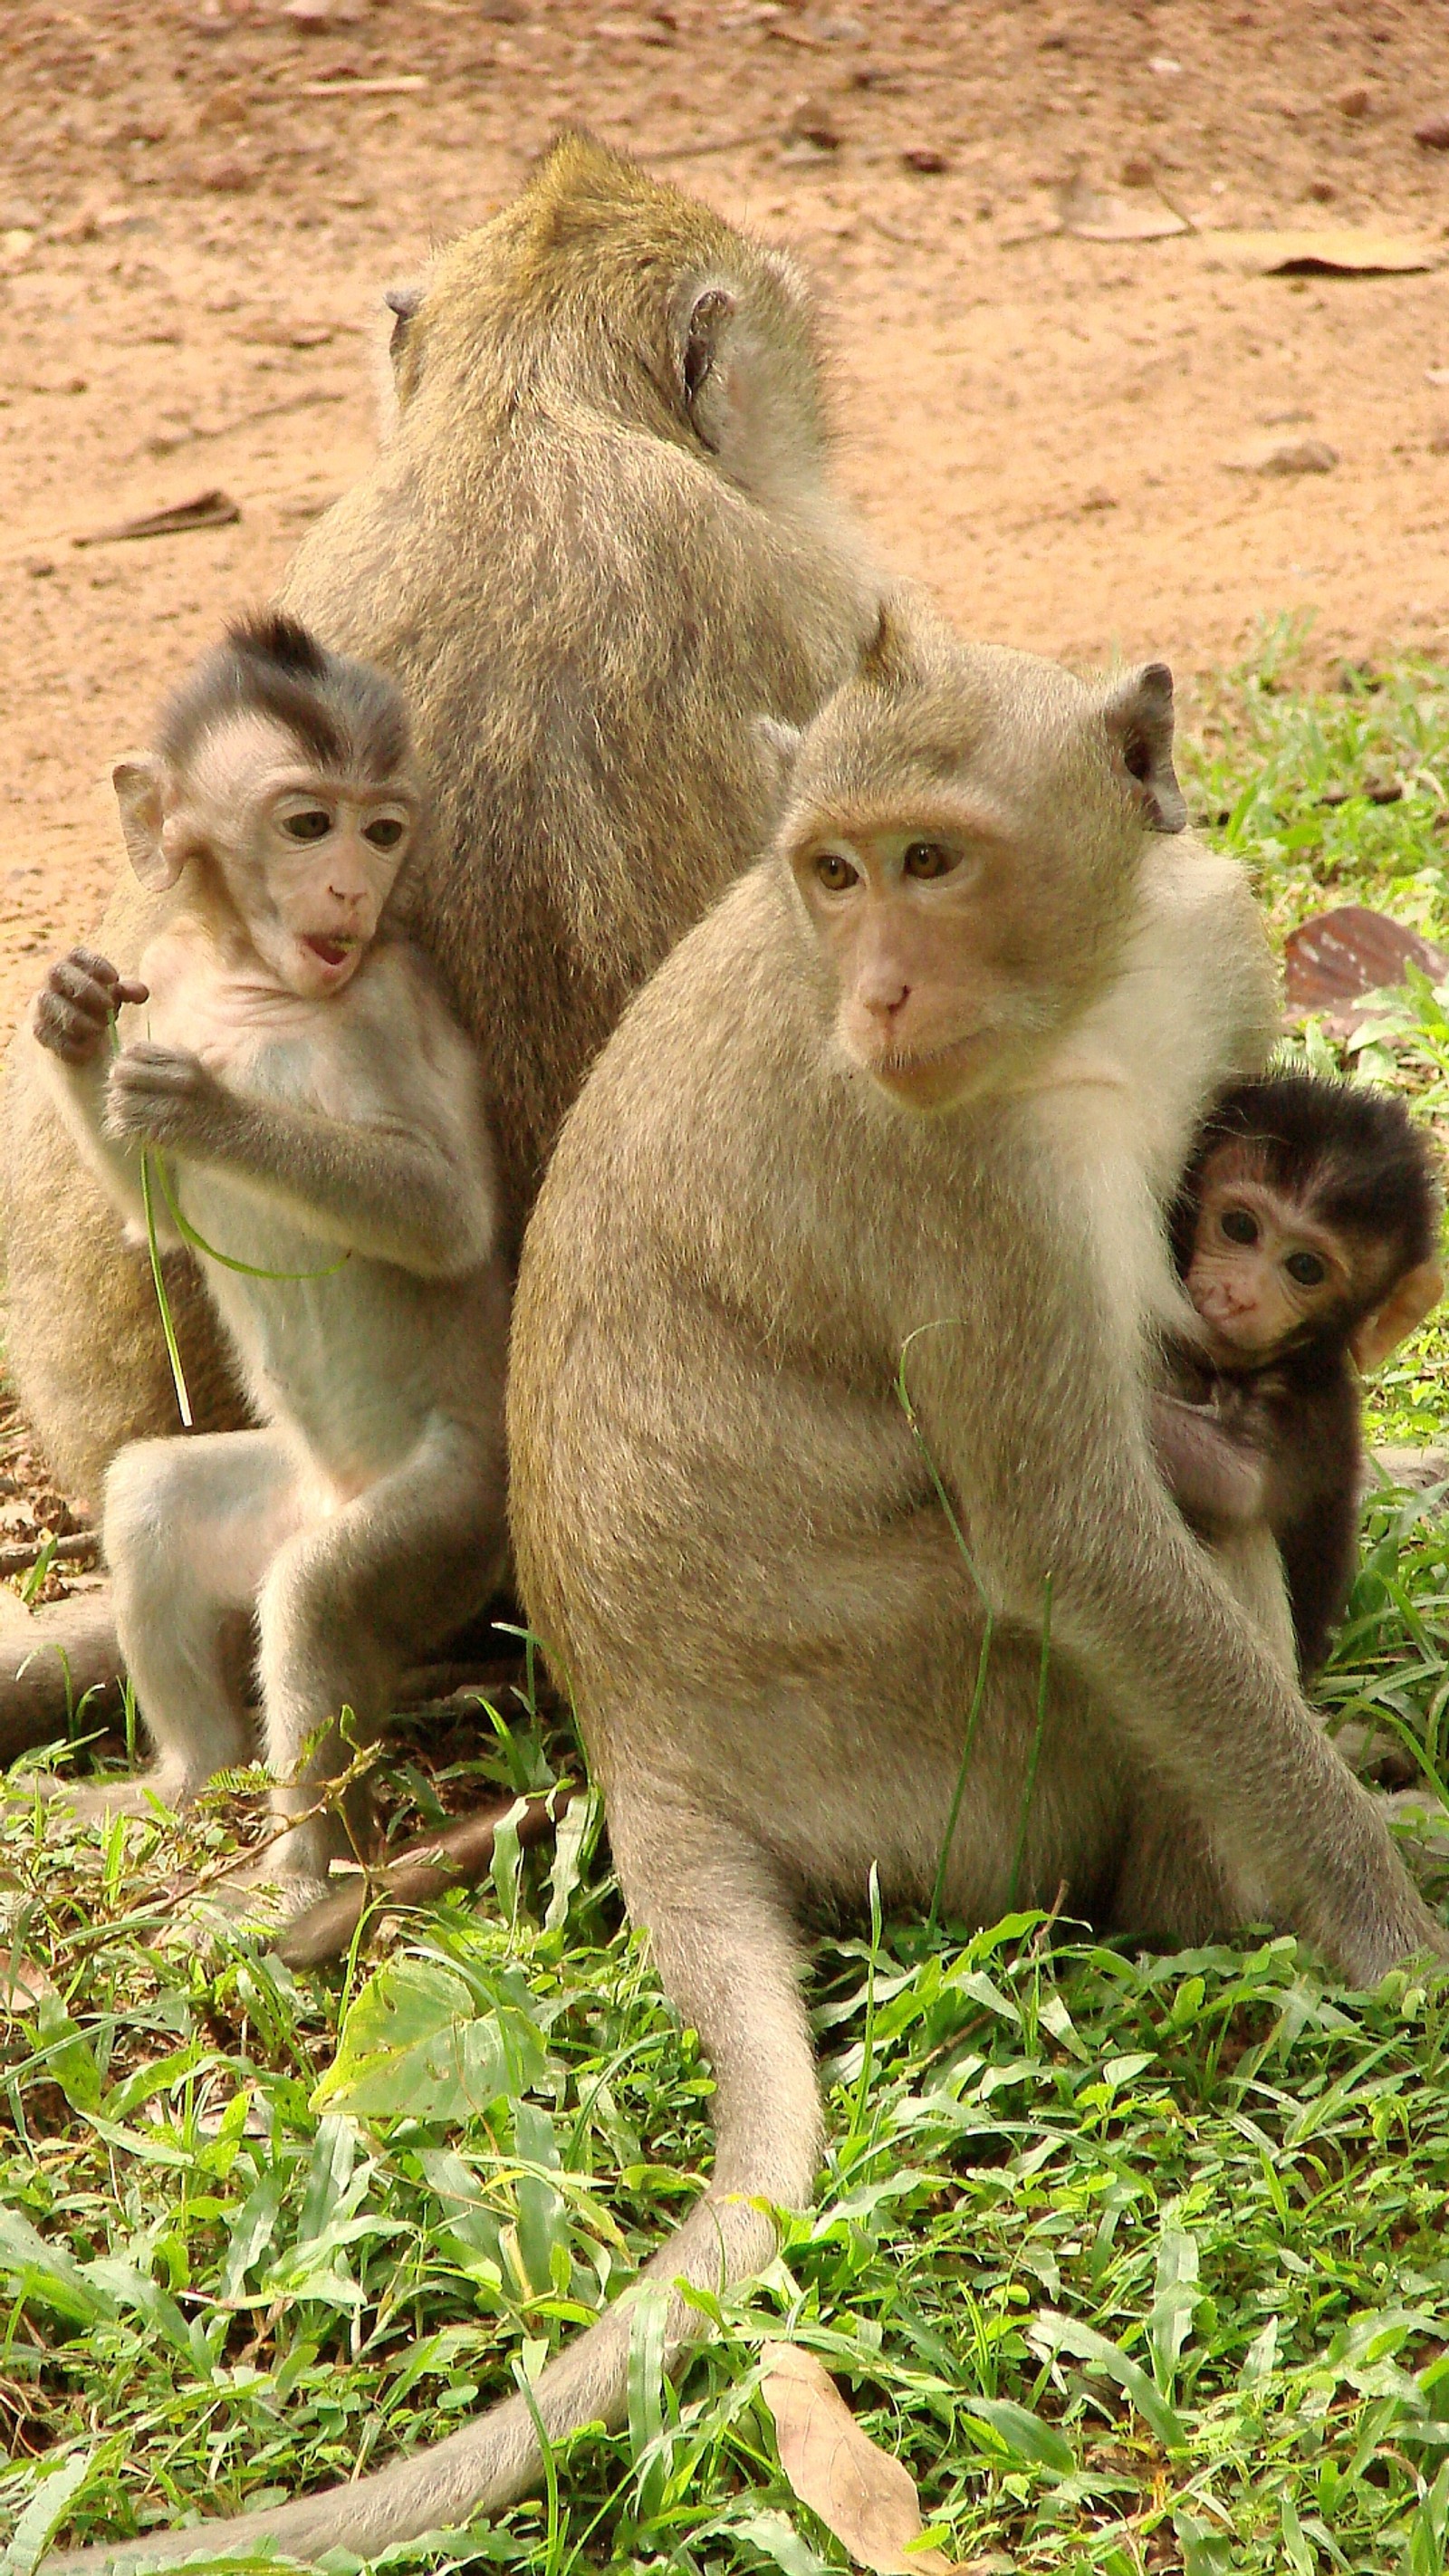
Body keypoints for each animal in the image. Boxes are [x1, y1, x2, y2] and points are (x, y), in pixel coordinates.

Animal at [28, 608, 509, 1916]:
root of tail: (333, 1491)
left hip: (452, 1511)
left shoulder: (394, 996)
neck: (257, 981)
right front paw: (72, 1022)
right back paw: (184, 1782)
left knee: (314, 1600)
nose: (352, 884)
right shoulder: (175, 984)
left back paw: (299, 1877)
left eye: (380, 830)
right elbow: (153, 1225)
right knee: (150, 1500)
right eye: (307, 825)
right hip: (275, 1493)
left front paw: (209, 1109)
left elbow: (447, 1216)